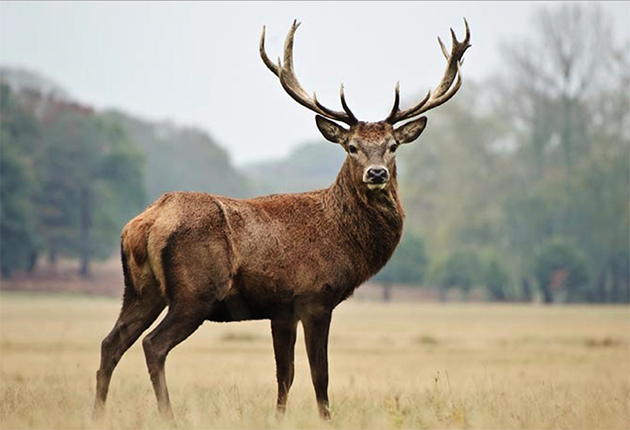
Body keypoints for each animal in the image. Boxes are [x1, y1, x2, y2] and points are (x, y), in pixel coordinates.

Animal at [91, 19, 472, 420]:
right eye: (351, 147)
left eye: (393, 146)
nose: (377, 173)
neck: (343, 238)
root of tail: (145, 223)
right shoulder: (315, 296)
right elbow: (320, 374)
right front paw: (326, 419)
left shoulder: (281, 309)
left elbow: (284, 374)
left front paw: (279, 417)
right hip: (195, 291)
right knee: (153, 345)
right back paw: (168, 415)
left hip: (140, 289)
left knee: (110, 343)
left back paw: (97, 413)